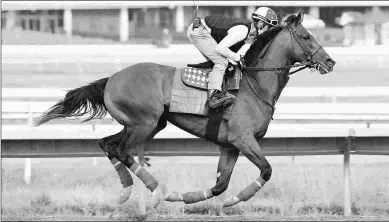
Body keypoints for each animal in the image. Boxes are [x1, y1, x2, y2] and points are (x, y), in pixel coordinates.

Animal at [34, 11, 334, 210]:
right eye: (306, 36)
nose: (330, 62)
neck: (254, 83)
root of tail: (111, 79)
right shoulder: (243, 139)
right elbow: (267, 170)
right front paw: (236, 200)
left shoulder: (230, 146)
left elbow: (220, 185)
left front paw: (199, 199)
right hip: (144, 123)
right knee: (122, 151)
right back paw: (159, 193)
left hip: (143, 124)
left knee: (107, 145)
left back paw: (126, 192)